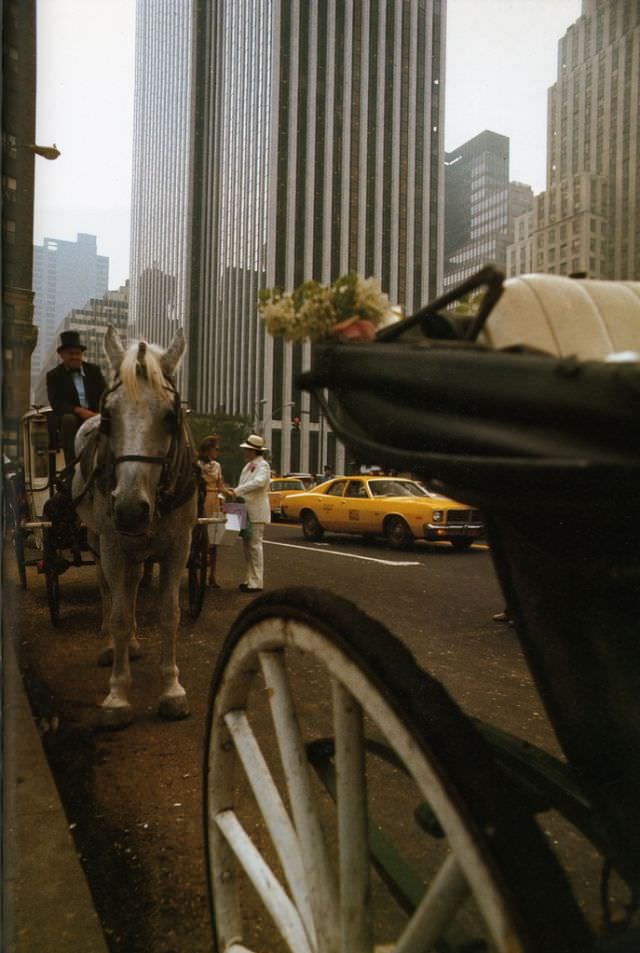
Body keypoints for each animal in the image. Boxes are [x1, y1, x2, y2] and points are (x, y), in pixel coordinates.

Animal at [73, 328, 198, 728]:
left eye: (171, 416)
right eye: (108, 417)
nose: (129, 510)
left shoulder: (179, 546)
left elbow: (169, 614)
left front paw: (172, 690)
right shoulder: (113, 545)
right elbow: (119, 616)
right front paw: (118, 693)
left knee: (132, 583)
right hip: (98, 537)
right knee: (110, 591)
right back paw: (112, 646)